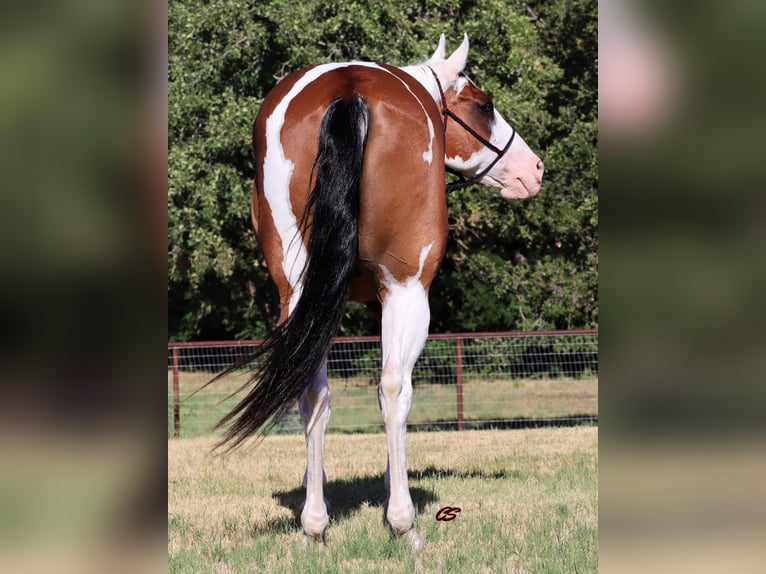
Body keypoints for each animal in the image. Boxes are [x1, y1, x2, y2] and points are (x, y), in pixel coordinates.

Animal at [213, 33, 544, 552]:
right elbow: (393, 390)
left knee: (313, 392)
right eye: (483, 105)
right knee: (392, 388)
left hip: (299, 292)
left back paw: (314, 525)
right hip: (407, 292)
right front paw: (396, 501)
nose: (534, 168)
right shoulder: (399, 294)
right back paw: (403, 524)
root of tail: (348, 89)